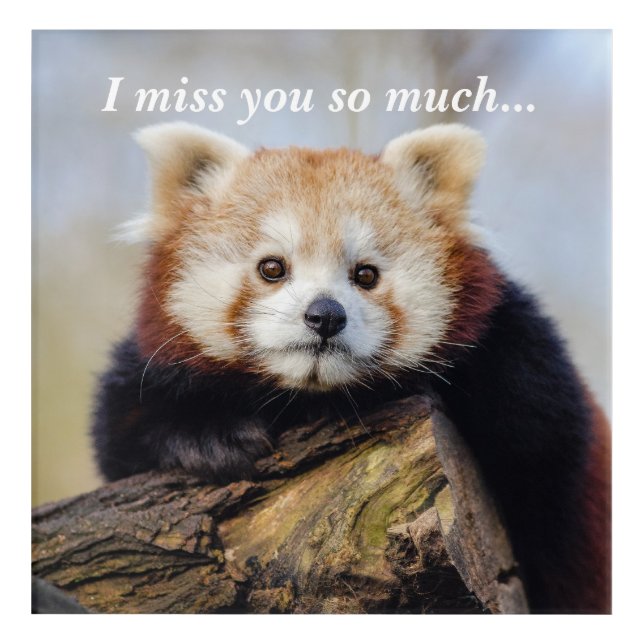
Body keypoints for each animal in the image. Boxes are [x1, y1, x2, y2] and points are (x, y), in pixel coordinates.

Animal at [92, 122, 611, 613]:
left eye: (365, 274)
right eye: (272, 268)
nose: (325, 315)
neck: (310, 396)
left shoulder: (525, 369)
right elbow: (123, 426)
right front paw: (209, 435)